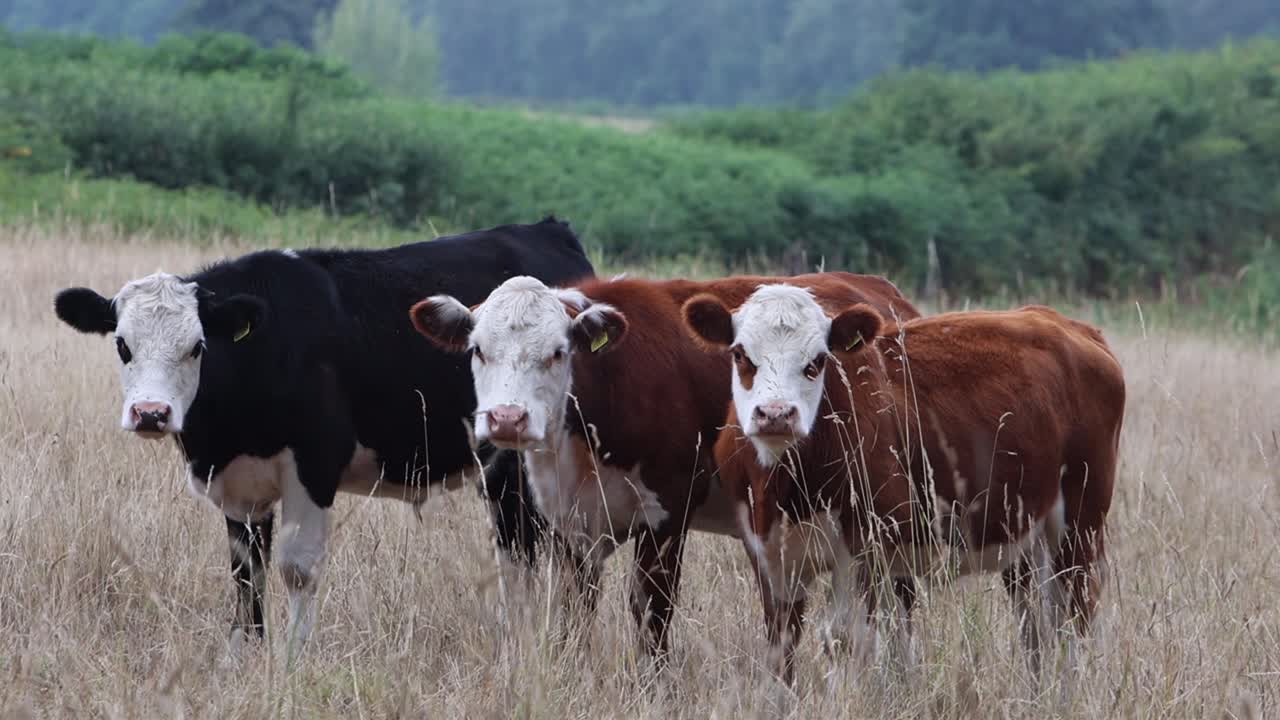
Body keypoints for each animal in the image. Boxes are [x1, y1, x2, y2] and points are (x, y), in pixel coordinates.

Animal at [52, 217, 595, 661]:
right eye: (122, 345)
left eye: (196, 347)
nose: (151, 413)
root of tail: (549, 229)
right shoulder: (238, 484)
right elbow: (246, 569)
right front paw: (244, 655)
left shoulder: (313, 465)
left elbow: (296, 568)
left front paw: (293, 659)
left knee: (534, 548)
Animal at [408, 272, 919, 661]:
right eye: (478, 350)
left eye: (557, 352)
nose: (507, 418)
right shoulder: (570, 521)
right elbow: (576, 609)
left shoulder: (669, 512)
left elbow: (651, 610)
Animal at [682, 286, 1125, 684]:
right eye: (740, 354)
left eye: (818, 360)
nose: (776, 414)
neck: (786, 487)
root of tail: (1067, 325)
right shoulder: (766, 551)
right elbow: (781, 642)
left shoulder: (867, 544)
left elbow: (845, 638)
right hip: (1024, 536)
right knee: (1037, 627)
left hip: (1079, 525)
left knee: (1073, 617)